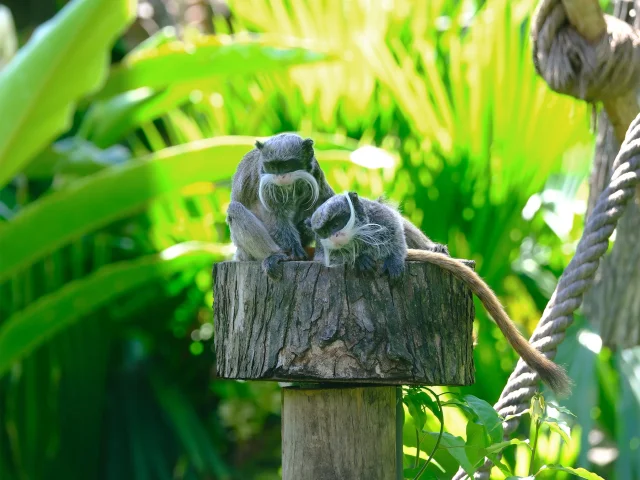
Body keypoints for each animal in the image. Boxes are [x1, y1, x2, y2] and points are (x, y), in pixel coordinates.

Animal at [228, 133, 336, 280]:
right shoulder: (267, 184)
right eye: (272, 167)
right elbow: (276, 218)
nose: (280, 177)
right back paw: (275, 255)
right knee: (234, 209)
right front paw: (293, 248)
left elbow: (326, 201)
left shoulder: (315, 172)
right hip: (244, 251)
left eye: (287, 165)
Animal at [308, 192, 572, 398]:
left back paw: (433, 248)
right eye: (326, 229)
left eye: (337, 223)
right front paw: (359, 259)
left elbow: (394, 227)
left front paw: (395, 259)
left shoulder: (376, 214)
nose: (335, 236)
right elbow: (334, 259)